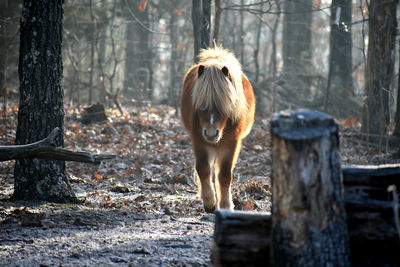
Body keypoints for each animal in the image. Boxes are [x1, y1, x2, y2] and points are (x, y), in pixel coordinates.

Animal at [180, 46, 255, 214]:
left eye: (224, 105)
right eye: (201, 104)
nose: (211, 133)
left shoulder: (231, 143)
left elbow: (225, 175)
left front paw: (225, 205)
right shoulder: (199, 140)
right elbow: (203, 169)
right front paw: (210, 202)